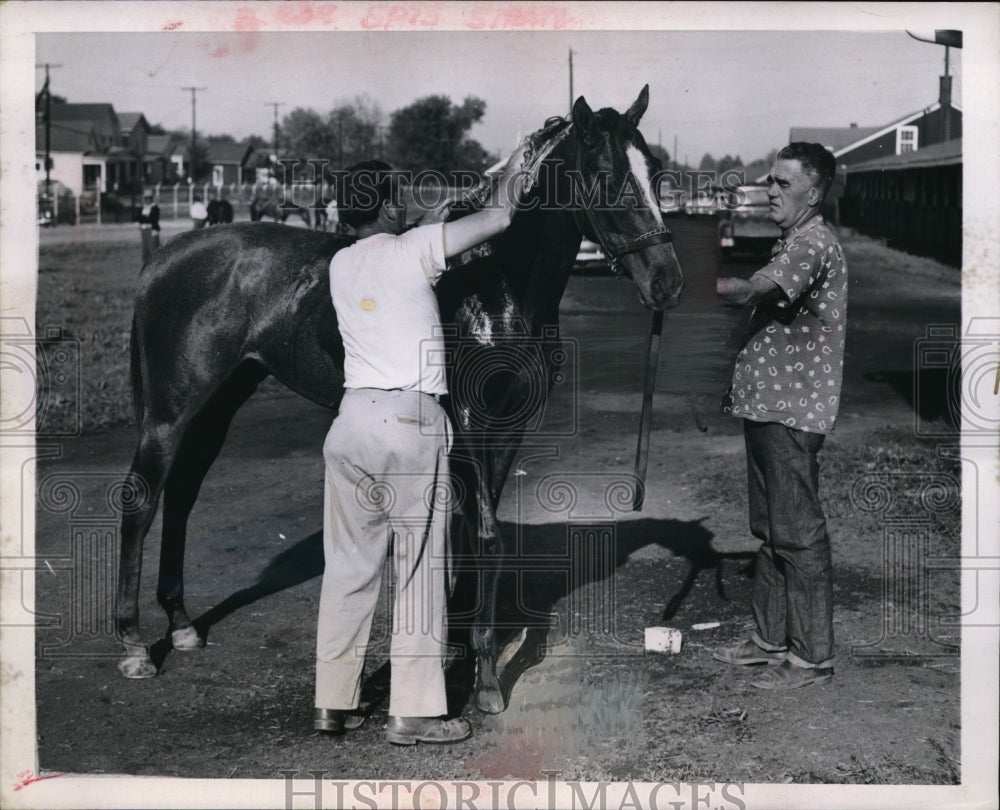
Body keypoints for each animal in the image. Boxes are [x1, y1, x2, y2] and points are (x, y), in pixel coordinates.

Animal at [115, 83, 680, 712]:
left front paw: (459, 648)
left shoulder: (510, 424)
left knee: (182, 496)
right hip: (171, 410)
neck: (498, 281)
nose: (666, 282)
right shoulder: (469, 422)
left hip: (219, 404)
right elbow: (485, 536)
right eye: (605, 174)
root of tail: (162, 260)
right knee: (141, 499)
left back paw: (182, 626)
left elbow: (470, 533)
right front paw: (485, 678)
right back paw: (135, 647)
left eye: (657, 172)